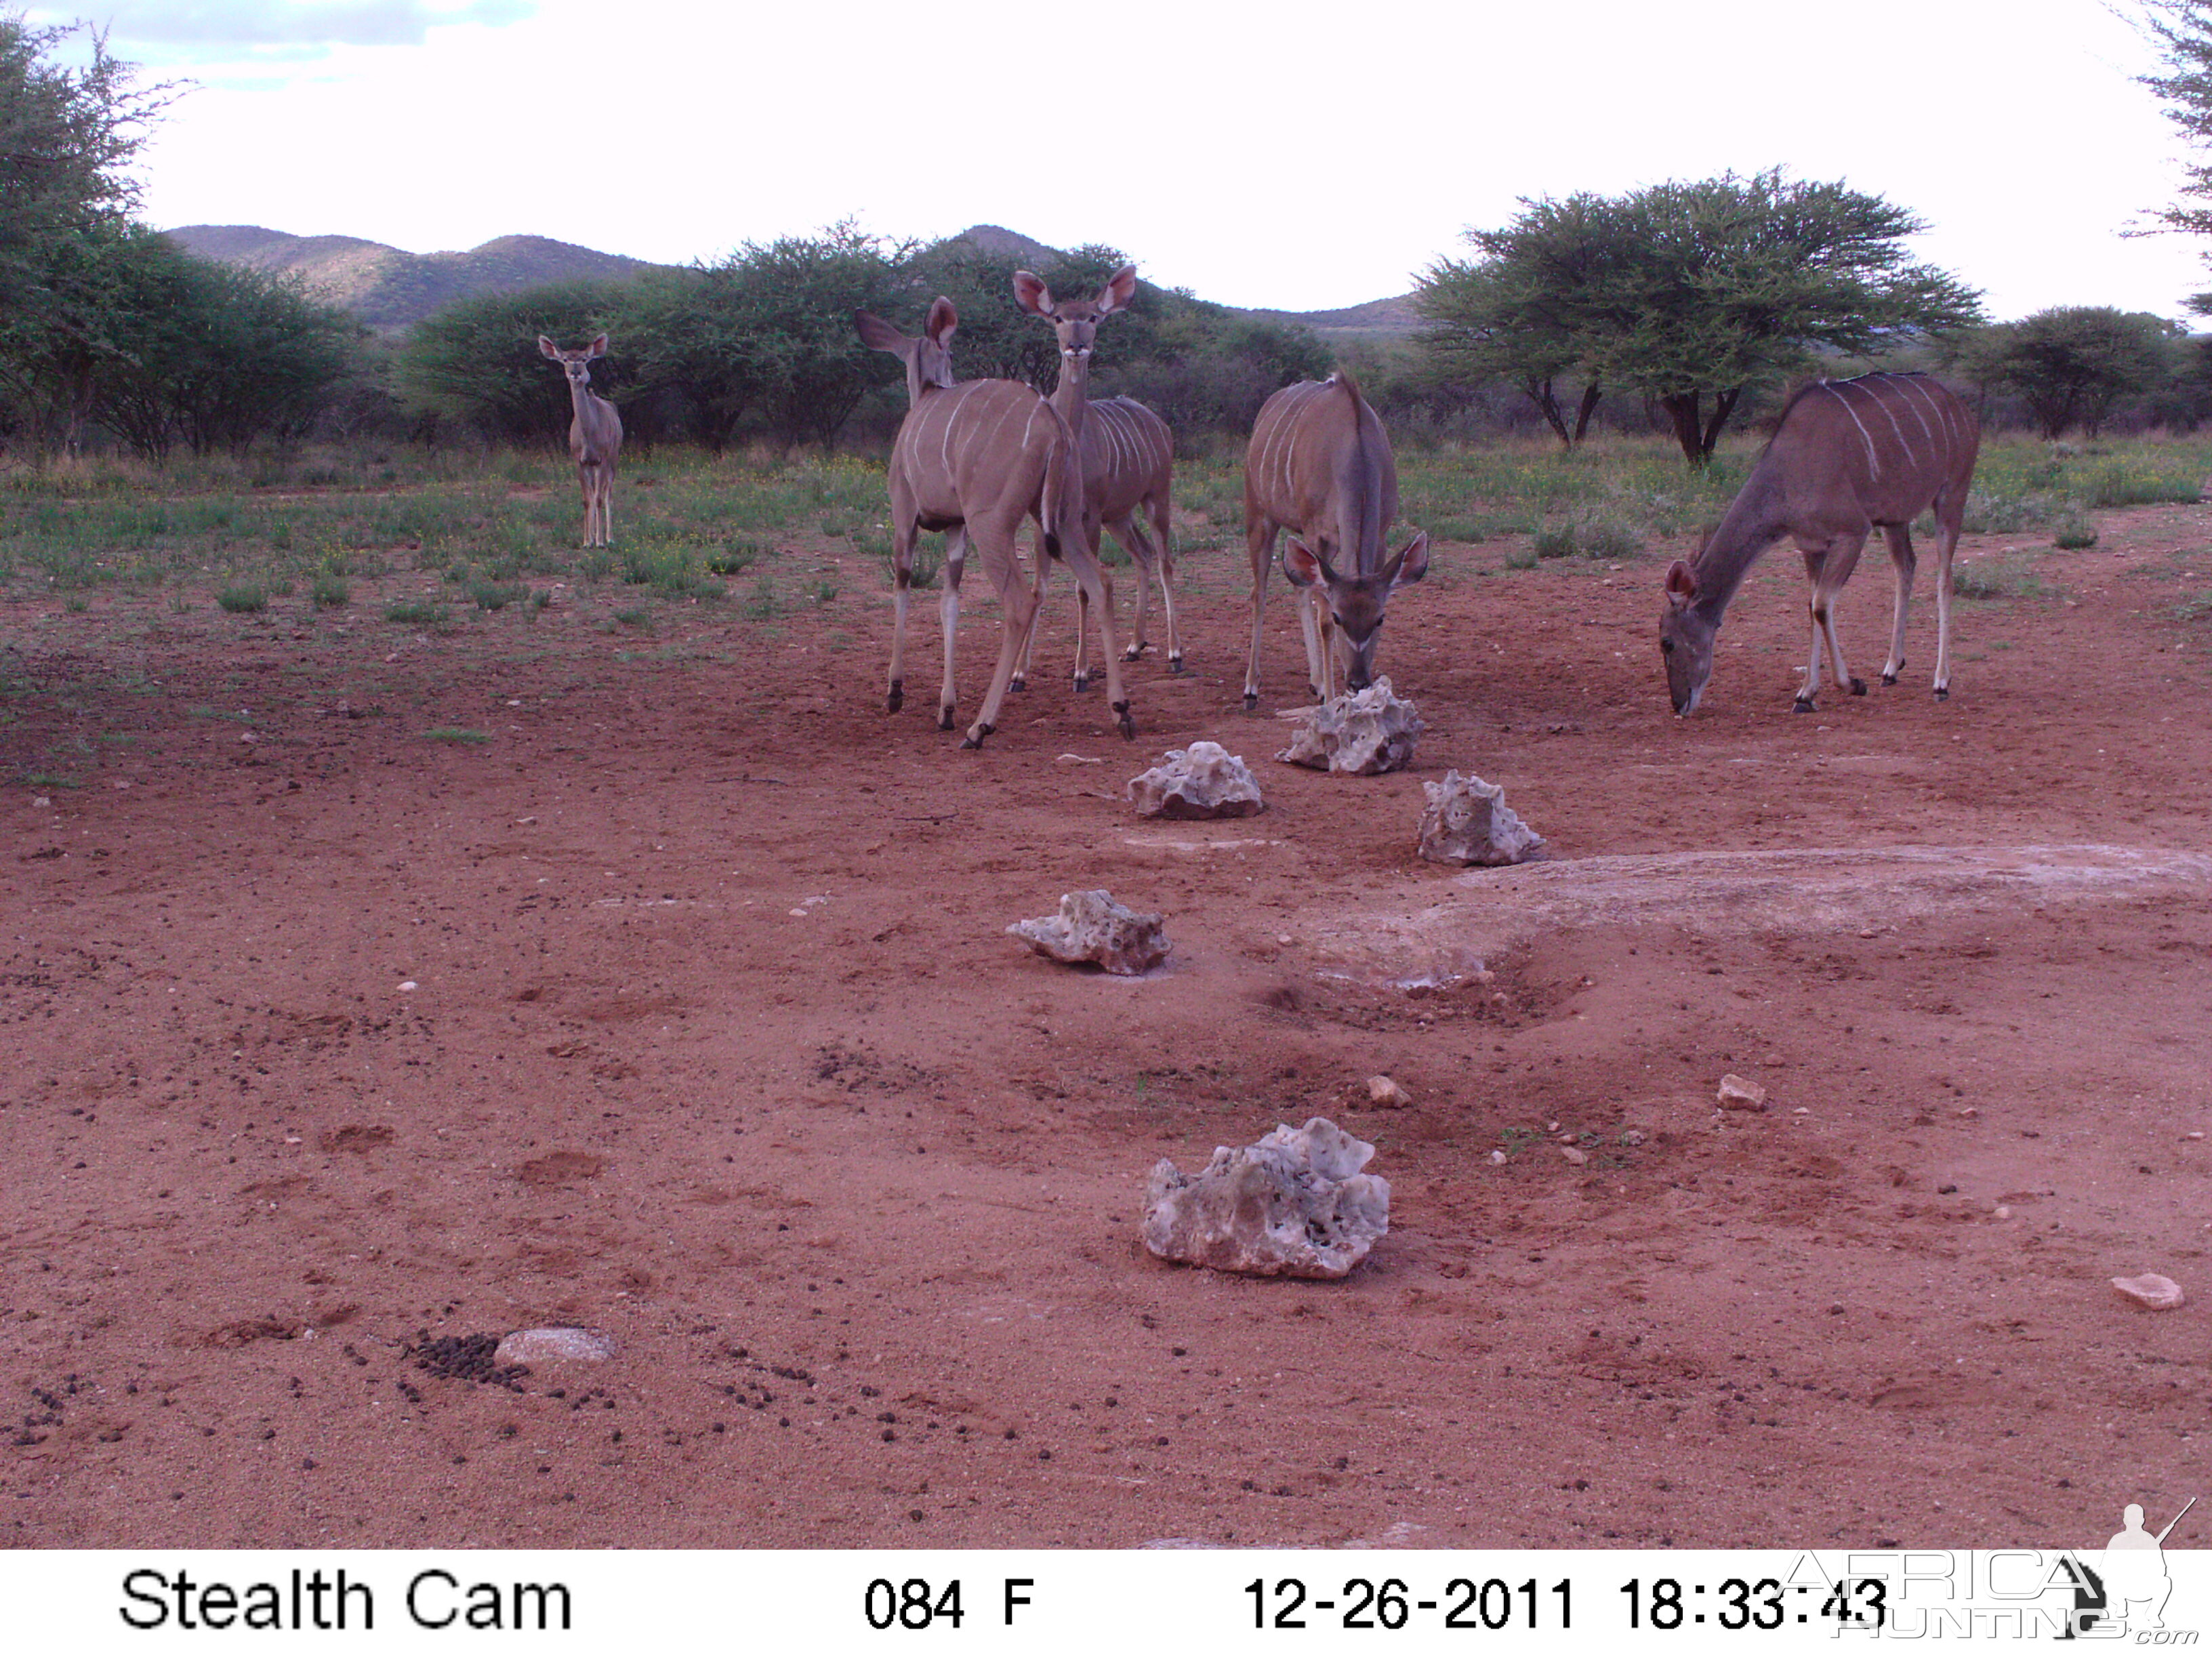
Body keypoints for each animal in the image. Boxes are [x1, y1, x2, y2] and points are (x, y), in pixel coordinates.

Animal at [541, 333, 628, 548]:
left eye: (584, 359)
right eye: (565, 359)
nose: (575, 373)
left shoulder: (602, 458)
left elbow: (598, 499)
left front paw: (600, 541)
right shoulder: (579, 460)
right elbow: (586, 499)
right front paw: (587, 541)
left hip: (614, 458)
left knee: (607, 494)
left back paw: (609, 537)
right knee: (596, 492)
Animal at [840, 296, 1124, 752]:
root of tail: (1052, 424)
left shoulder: (905, 516)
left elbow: (903, 586)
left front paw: (896, 692)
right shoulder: (956, 528)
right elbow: (950, 602)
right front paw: (946, 709)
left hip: (991, 524)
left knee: (1021, 600)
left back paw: (981, 727)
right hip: (1064, 521)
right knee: (1100, 582)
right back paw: (1121, 711)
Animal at [1012, 264, 1185, 690]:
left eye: (1092, 317)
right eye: (1058, 318)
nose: (1076, 346)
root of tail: (1160, 424)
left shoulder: (1086, 515)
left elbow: (1083, 588)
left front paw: (1081, 671)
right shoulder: (1041, 520)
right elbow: (1040, 588)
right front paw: (1019, 673)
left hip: (1156, 497)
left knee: (1163, 560)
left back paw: (1175, 653)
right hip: (1119, 516)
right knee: (1142, 554)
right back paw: (1134, 646)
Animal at [1247, 369, 1433, 708]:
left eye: (1380, 619)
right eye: (1338, 618)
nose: (1357, 681)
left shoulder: (1380, 534)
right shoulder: (1315, 532)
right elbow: (1320, 615)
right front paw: (1332, 700)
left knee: (1300, 587)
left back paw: (1317, 682)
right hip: (1259, 514)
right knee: (1260, 592)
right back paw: (1252, 688)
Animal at [1663, 369, 1990, 716]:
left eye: (1667, 642)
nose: (1679, 704)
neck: (1788, 475)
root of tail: (1964, 411)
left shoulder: (1852, 533)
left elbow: (1821, 606)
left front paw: (1852, 685)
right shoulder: (1812, 546)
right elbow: (1812, 607)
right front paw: (1805, 694)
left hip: (1952, 495)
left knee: (1945, 580)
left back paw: (1941, 682)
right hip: (1895, 518)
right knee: (1906, 567)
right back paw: (1891, 668)